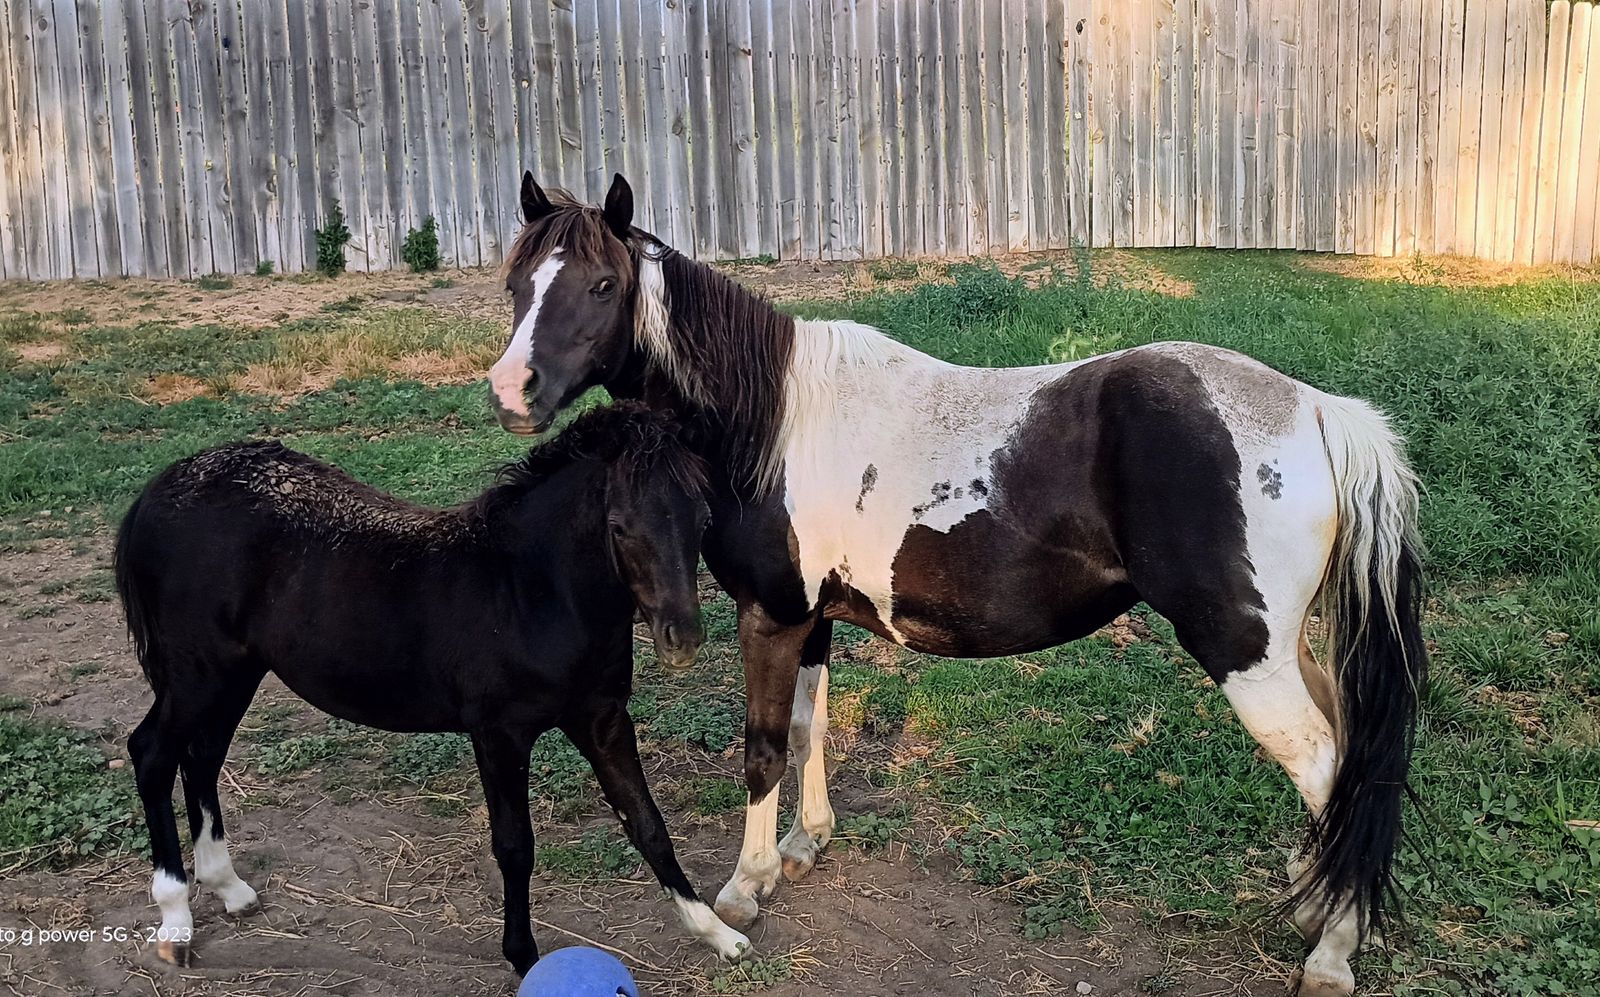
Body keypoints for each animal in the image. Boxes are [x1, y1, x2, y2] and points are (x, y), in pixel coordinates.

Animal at [113, 403, 751, 973]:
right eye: (620, 527)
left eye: (702, 519)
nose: (682, 638)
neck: (530, 590)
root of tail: (157, 491)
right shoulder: (498, 735)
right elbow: (515, 846)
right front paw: (522, 956)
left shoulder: (602, 718)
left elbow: (647, 823)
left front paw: (717, 934)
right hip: (198, 675)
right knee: (152, 753)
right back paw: (175, 919)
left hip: (233, 675)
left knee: (201, 757)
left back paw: (229, 887)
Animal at [485, 173, 1427, 997]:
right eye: (517, 281)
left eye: (603, 283)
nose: (510, 393)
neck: (771, 421)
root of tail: (1317, 409)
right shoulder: (813, 619)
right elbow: (808, 728)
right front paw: (805, 845)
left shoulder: (772, 616)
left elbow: (761, 747)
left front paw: (747, 885)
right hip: (1284, 645)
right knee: (1342, 757)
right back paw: (1312, 887)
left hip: (1243, 652)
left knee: (1323, 762)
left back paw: (1331, 952)